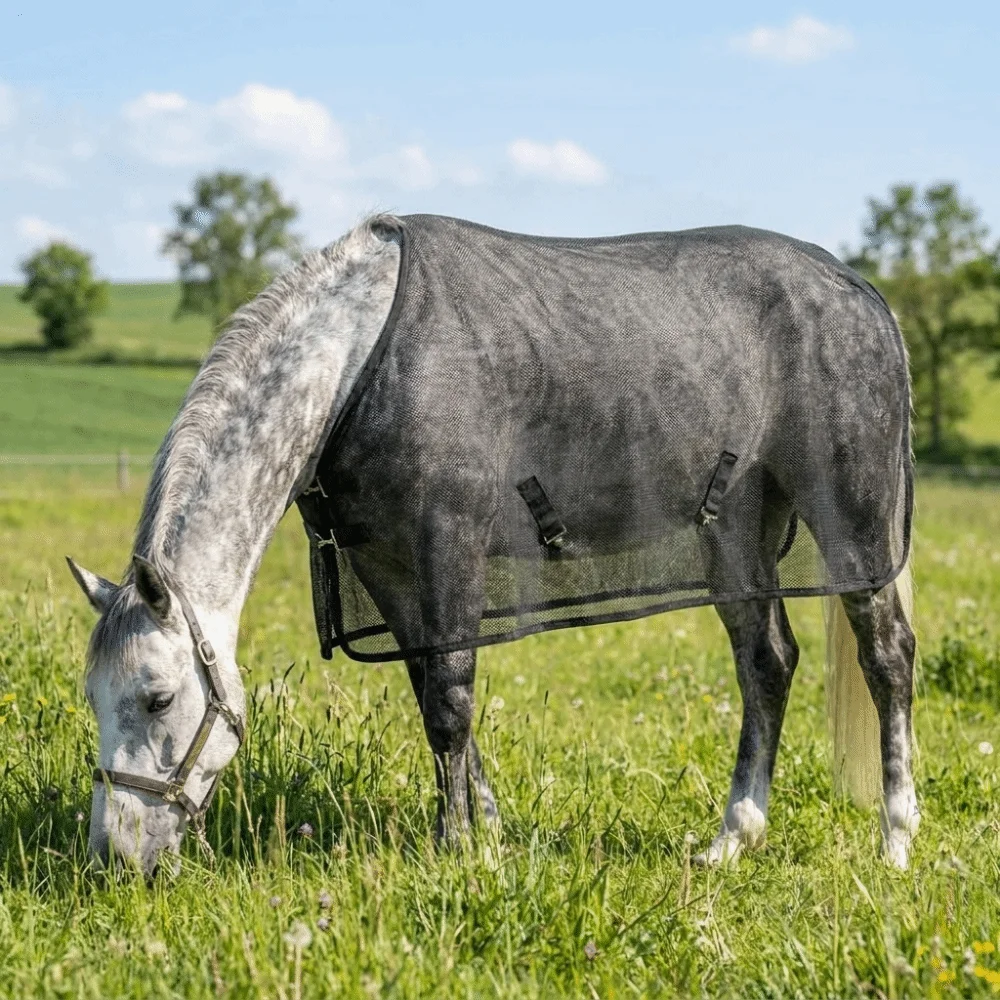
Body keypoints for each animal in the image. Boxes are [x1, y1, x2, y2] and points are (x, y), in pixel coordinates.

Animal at [68, 213, 918, 877]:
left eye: (158, 697)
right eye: (94, 697)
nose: (118, 858)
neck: (360, 363)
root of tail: (862, 291)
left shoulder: (447, 546)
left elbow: (450, 701)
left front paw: (457, 852)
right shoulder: (389, 569)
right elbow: (433, 696)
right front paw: (488, 833)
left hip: (852, 525)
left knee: (887, 658)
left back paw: (897, 840)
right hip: (735, 534)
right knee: (766, 663)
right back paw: (732, 840)